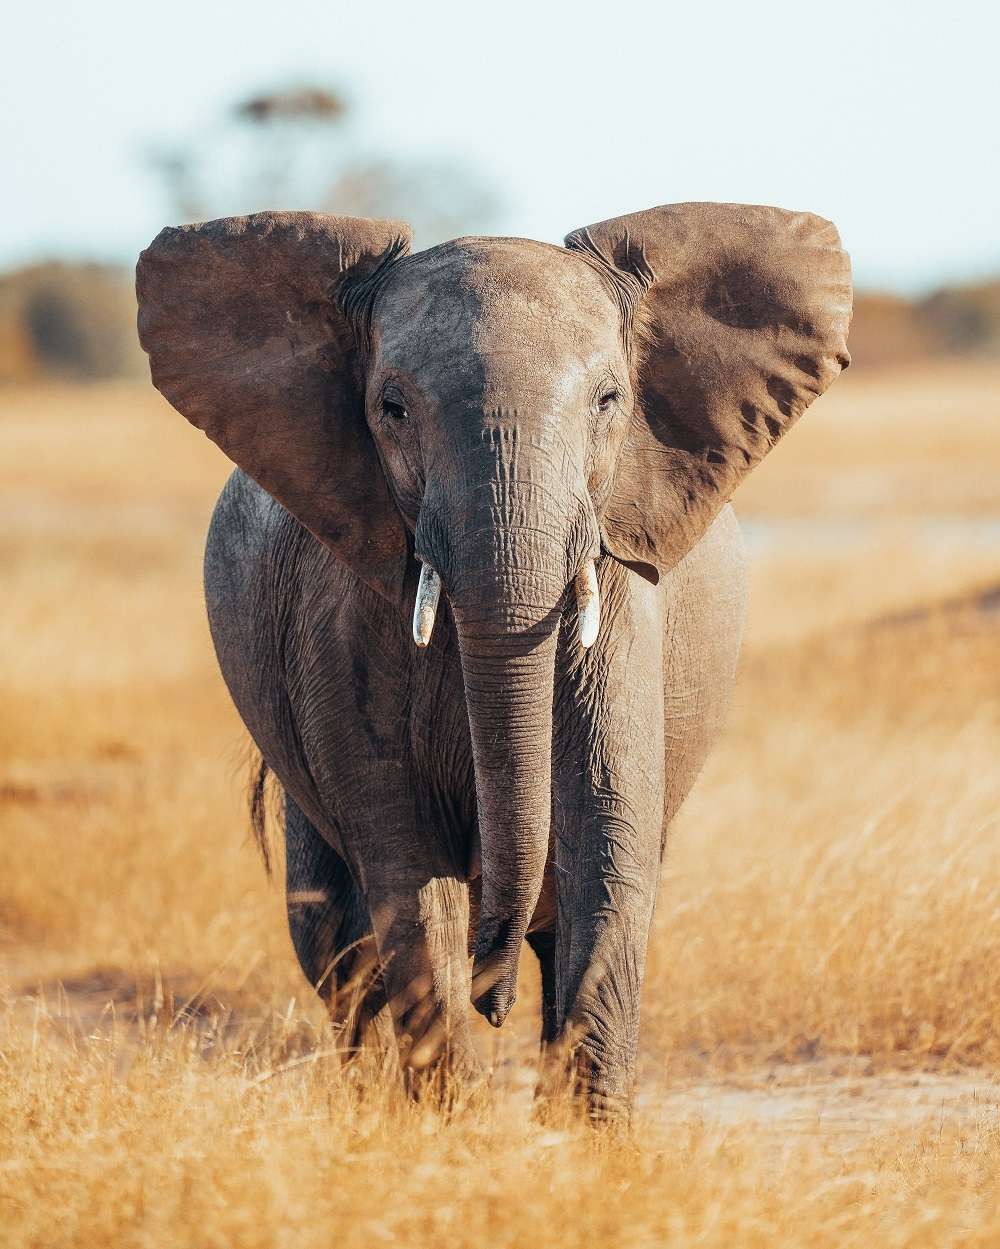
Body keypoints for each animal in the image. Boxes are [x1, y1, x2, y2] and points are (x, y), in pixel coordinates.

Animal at [134, 202, 848, 1124]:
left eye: (611, 400)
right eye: (392, 408)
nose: (492, 999)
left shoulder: (622, 604)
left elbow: (606, 843)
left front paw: (586, 1140)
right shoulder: (341, 617)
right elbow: (407, 874)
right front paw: (452, 1132)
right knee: (332, 939)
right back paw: (368, 1104)